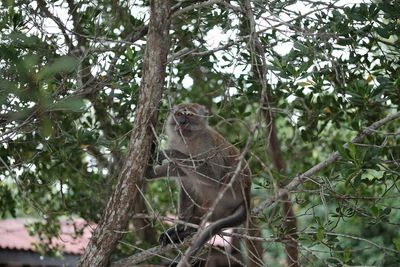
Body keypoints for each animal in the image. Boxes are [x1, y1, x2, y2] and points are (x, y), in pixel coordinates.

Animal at [146, 103, 253, 264]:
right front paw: (179, 227)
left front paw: (169, 153)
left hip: (229, 195)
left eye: (190, 115)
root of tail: (247, 197)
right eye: (178, 114)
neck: (190, 140)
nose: (182, 122)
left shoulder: (207, 142)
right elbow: (184, 180)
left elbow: (213, 176)